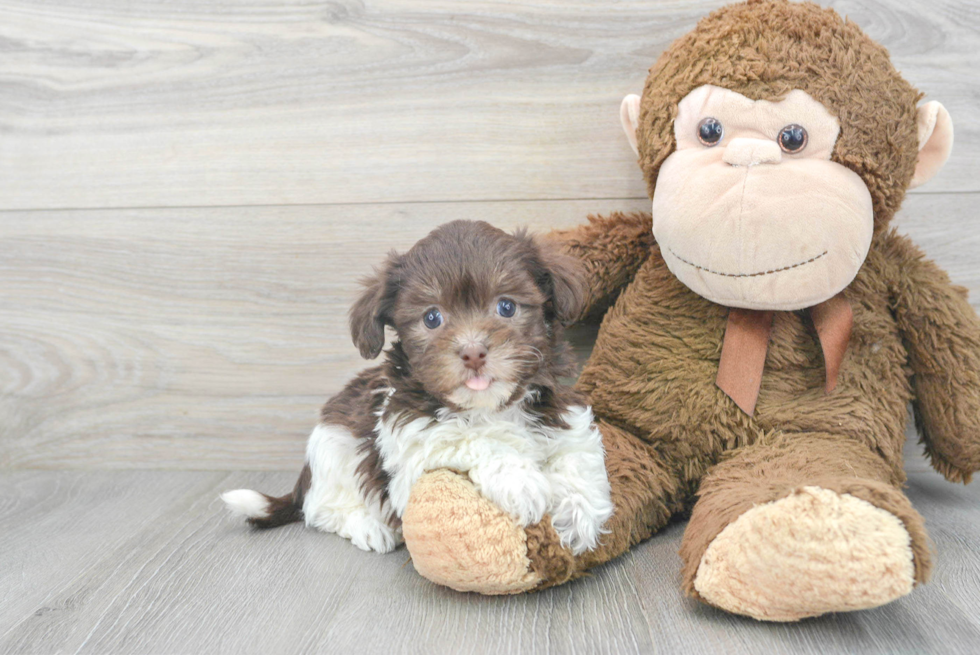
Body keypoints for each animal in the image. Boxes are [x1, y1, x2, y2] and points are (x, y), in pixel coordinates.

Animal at [222, 220, 612, 552]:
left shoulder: (563, 412)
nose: (473, 352)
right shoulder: (411, 449)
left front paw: (579, 513)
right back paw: (368, 526)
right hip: (333, 448)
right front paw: (519, 480)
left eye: (506, 306)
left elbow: (578, 453)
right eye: (432, 318)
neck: (488, 407)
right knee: (320, 509)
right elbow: (467, 437)